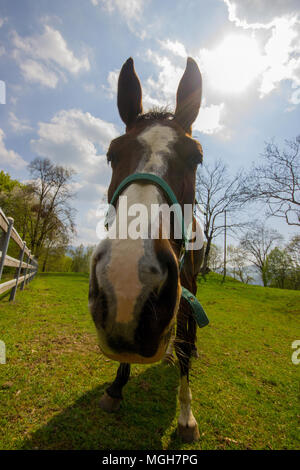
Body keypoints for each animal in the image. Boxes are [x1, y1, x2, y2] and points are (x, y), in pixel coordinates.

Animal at [89, 57, 206, 442]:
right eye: (112, 154)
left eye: (196, 158)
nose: (127, 279)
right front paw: (116, 387)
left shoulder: (184, 289)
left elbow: (184, 344)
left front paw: (185, 416)